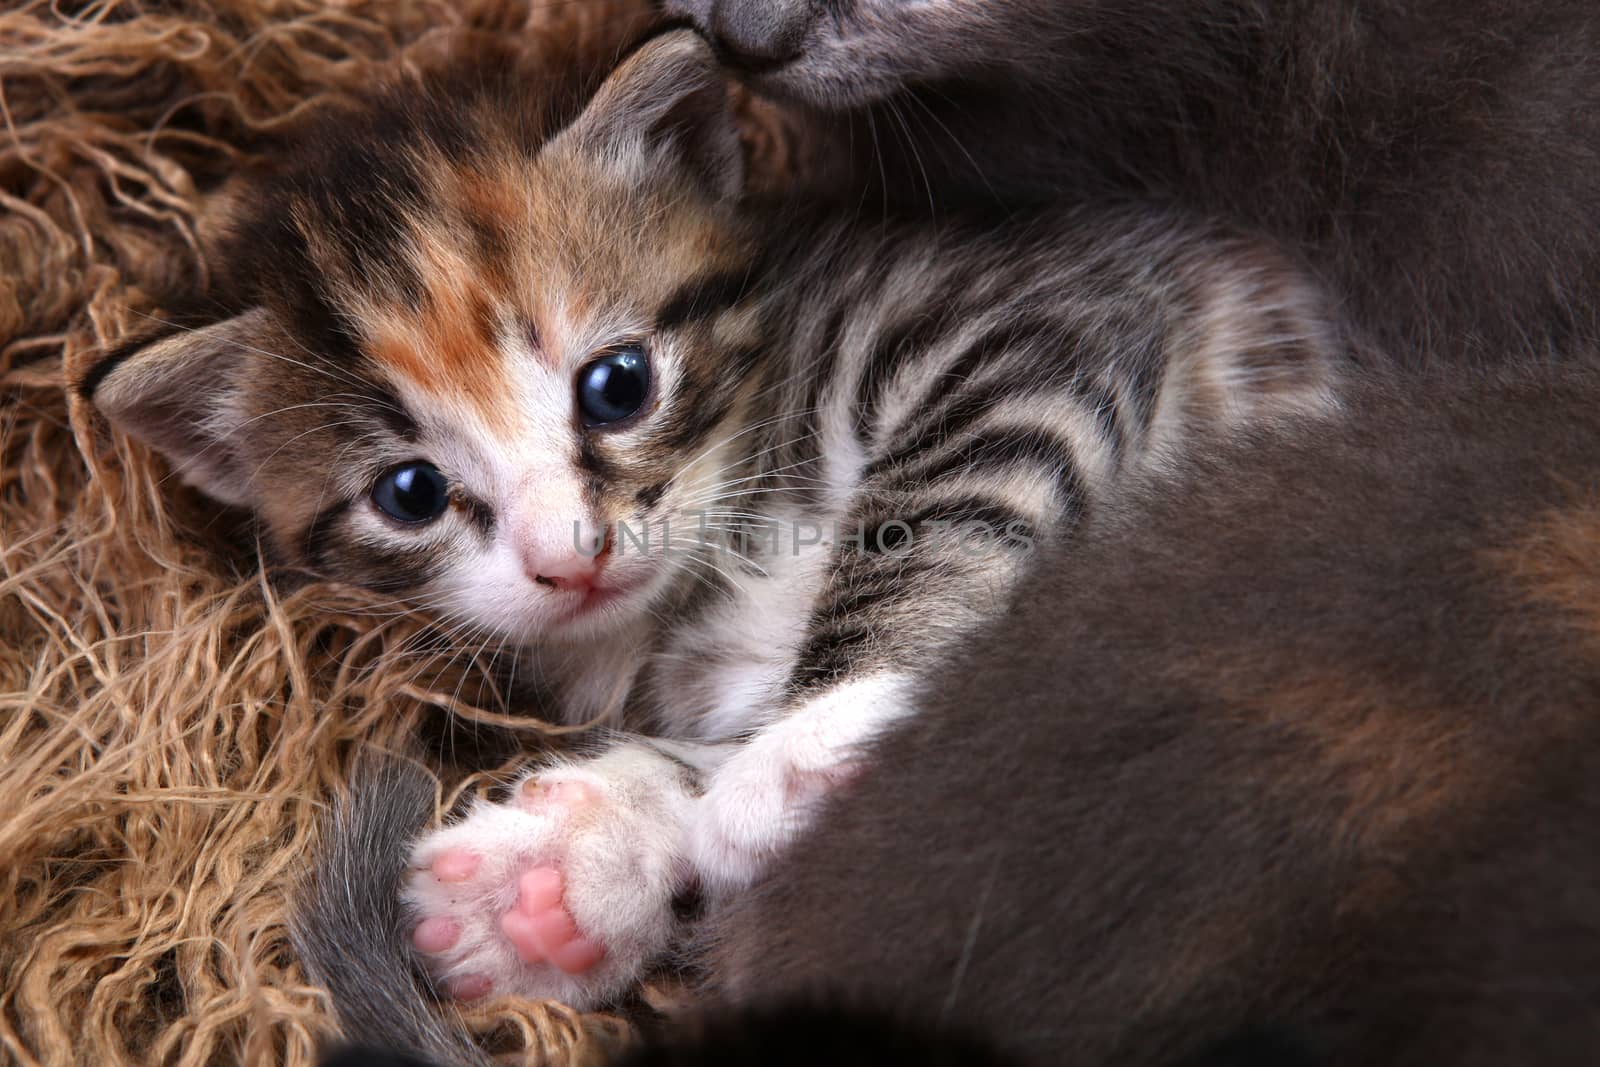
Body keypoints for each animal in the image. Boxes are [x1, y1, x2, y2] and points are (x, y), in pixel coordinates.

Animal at [84, 31, 1337, 1023]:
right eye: (409, 494)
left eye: (617, 384)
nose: (566, 555)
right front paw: (566, 876)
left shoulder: (1023, 321)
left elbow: (935, 509)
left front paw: (810, 749)